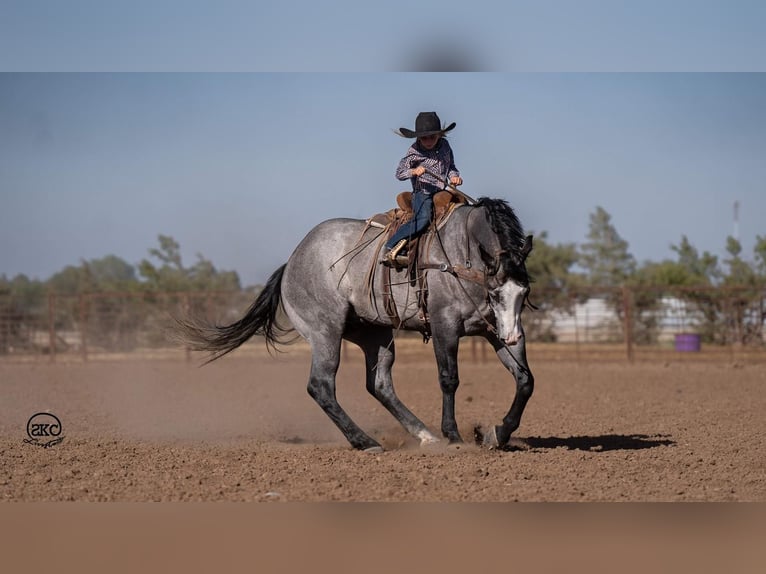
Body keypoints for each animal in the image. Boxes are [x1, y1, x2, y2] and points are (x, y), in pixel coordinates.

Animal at [176, 198, 536, 454]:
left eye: (524, 292)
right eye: (495, 292)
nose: (512, 334)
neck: (462, 253)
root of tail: (291, 263)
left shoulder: (494, 331)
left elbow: (525, 380)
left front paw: (497, 433)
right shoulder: (445, 325)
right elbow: (449, 379)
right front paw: (454, 435)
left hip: (374, 334)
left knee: (379, 384)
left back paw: (423, 436)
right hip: (325, 334)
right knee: (320, 386)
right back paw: (366, 441)